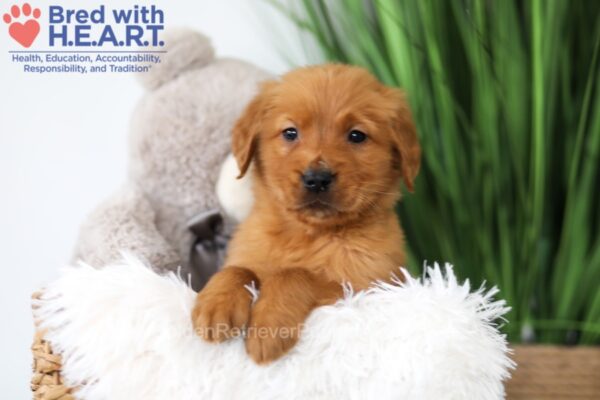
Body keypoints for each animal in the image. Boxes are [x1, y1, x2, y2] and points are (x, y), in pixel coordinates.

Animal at [192, 64, 422, 364]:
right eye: (290, 132)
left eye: (357, 135)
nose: (317, 179)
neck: (306, 234)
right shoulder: (248, 252)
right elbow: (238, 269)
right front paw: (215, 306)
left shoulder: (366, 286)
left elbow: (296, 275)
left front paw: (268, 327)